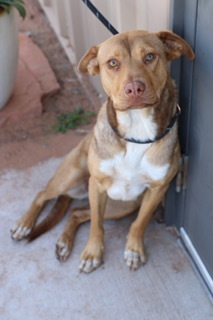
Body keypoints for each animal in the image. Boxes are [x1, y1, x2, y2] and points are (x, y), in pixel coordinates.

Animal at [10, 30, 195, 272]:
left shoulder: (157, 189)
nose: (134, 88)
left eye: (150, 57)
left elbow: (139, 223)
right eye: (112, 63)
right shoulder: (97, 186)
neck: (137, 131)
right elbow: (97, 225)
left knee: (76, 213)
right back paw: (24, 224)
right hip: (71, 177)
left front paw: (134, 250)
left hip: (122, 205)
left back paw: (64, 243)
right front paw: (92, 253)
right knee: (43, 195)